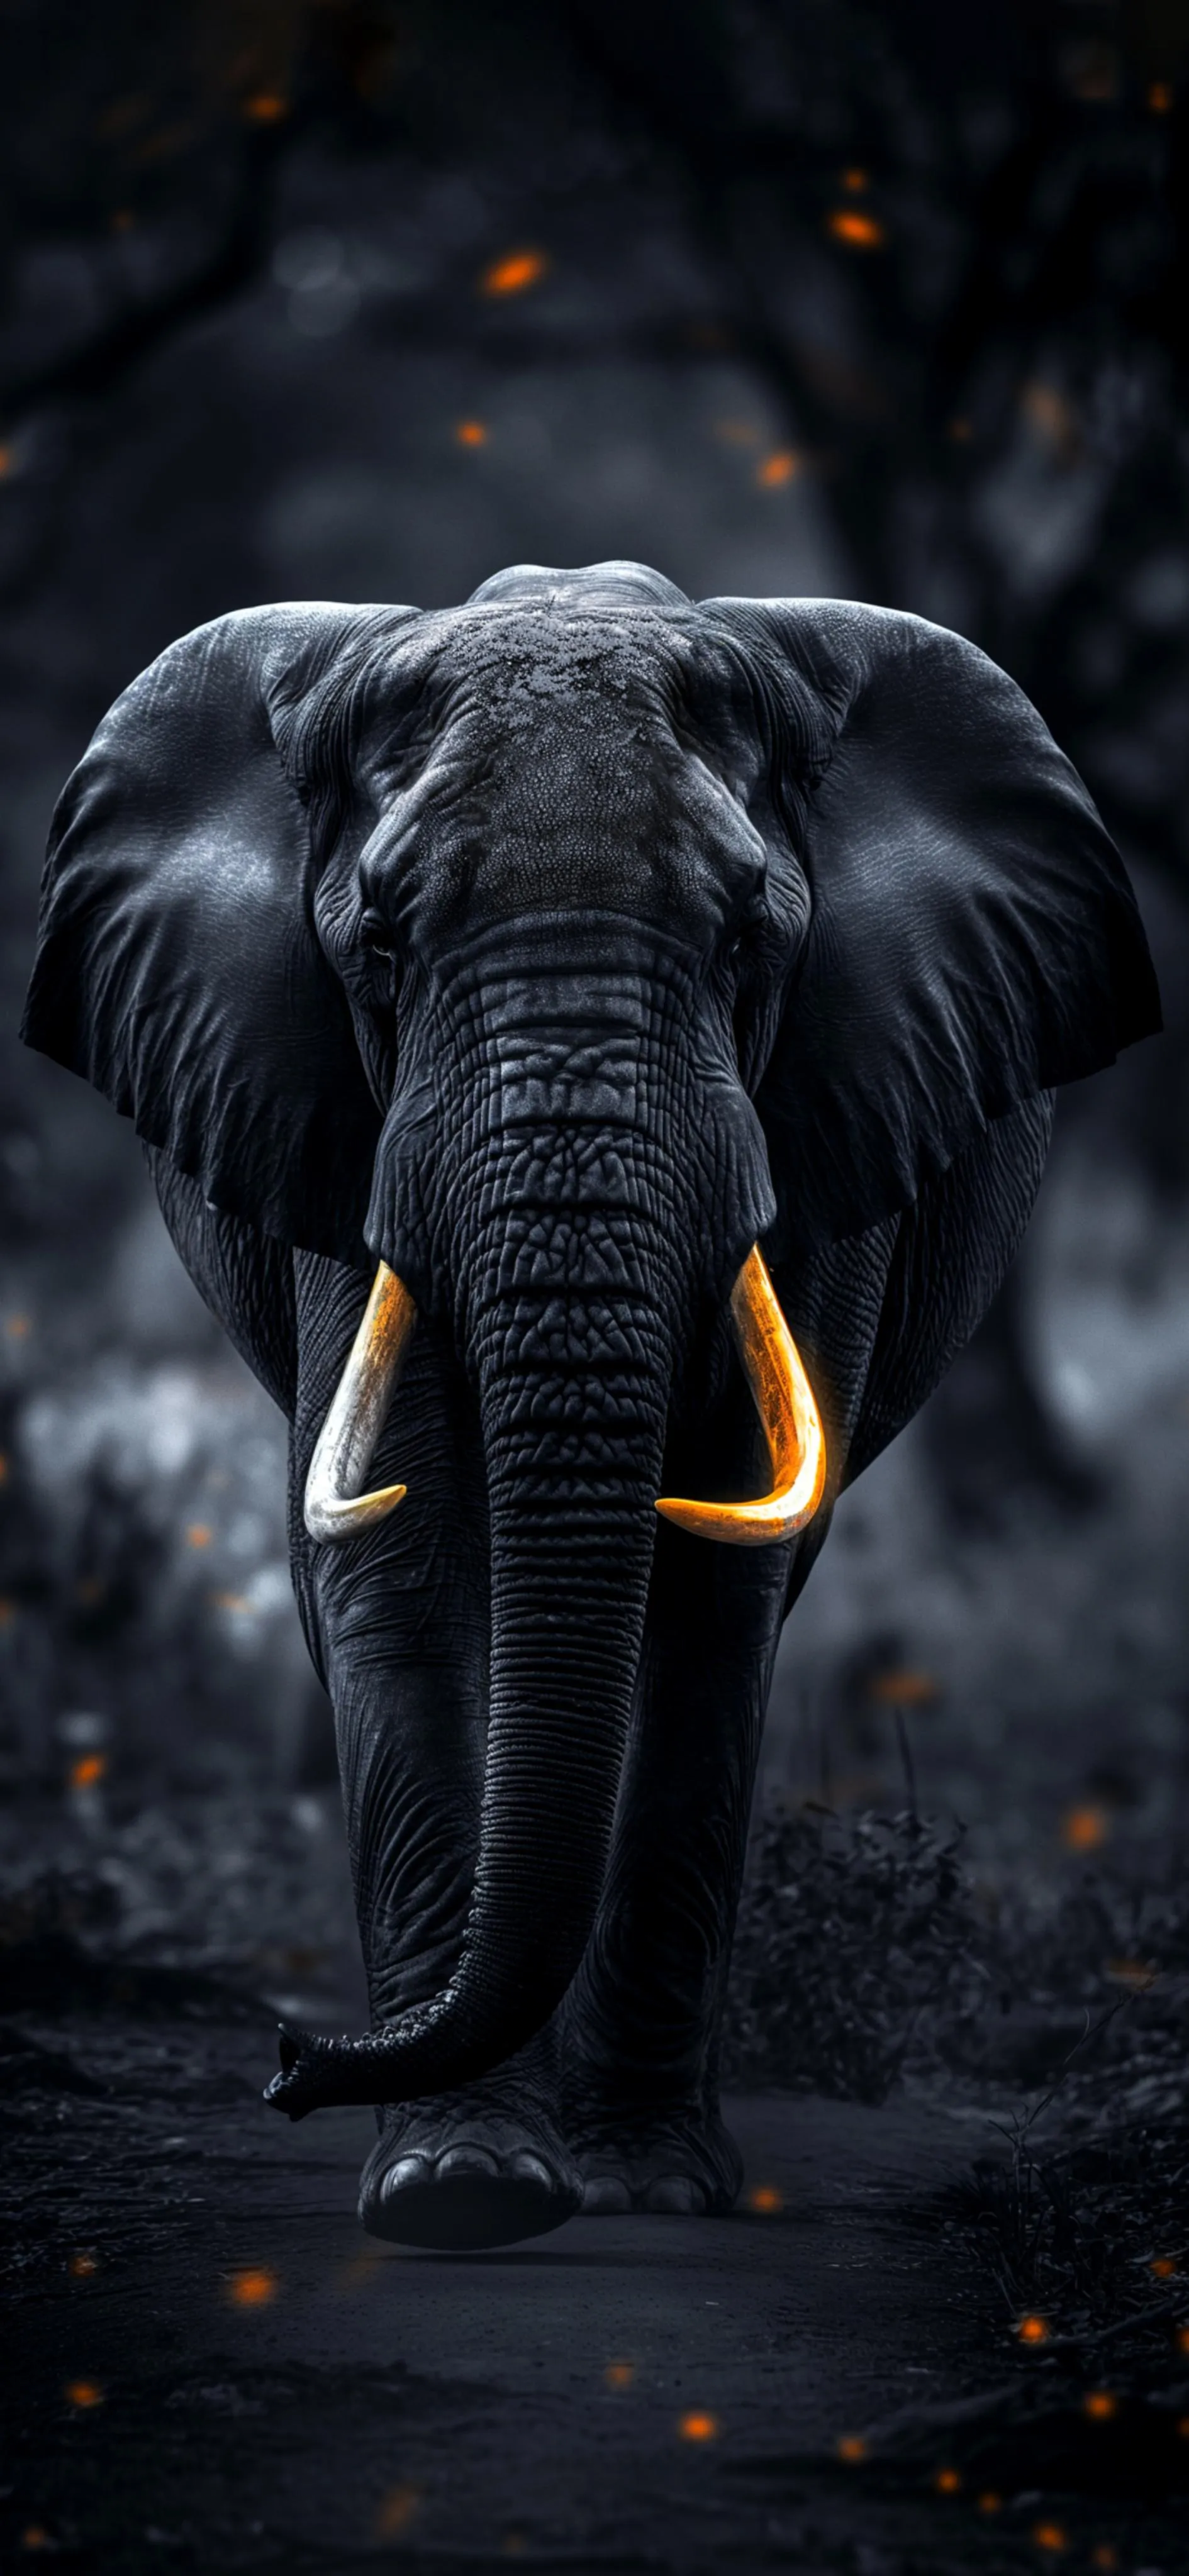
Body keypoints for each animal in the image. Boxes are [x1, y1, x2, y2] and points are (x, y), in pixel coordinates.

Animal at [22, 559, 1159, 2250]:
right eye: (380, 945)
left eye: (749, 942)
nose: (290, 2063)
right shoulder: (335, 1122)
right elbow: (405, 1551)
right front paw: (462, 2189)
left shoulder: (827, 1114)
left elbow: (709, 1592)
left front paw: (642, 2187)